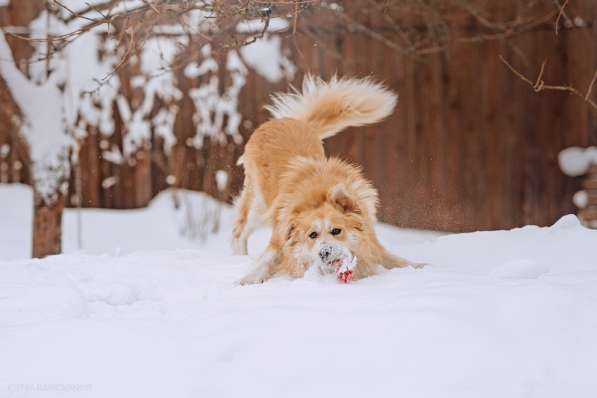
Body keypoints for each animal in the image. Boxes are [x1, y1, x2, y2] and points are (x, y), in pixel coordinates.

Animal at [233, 75, 420, 286]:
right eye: (312, 235)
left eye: (336, 231)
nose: (324, 252)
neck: (319, 194)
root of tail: (292, 121)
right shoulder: (280, 239)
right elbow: (266, 260)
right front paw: (246, 279)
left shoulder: (371, 240)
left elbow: (393, 259)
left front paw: (421, 267)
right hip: (259, 206)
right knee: (239, 230)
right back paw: (239, 256)